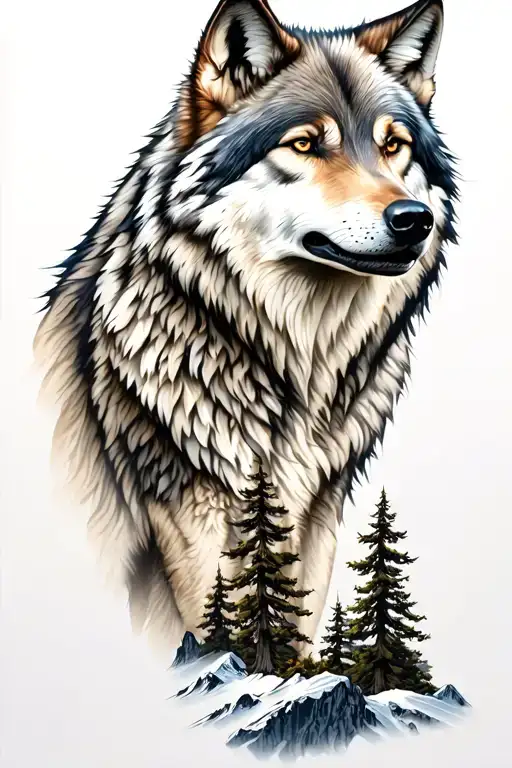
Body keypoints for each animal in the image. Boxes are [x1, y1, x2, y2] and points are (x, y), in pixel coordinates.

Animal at [35, 0, 457, 654]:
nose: (414, 219)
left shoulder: (317, 512)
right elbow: (211, 626)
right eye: (305, 143)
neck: (300, 366)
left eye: (394, 145)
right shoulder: (189, 516)